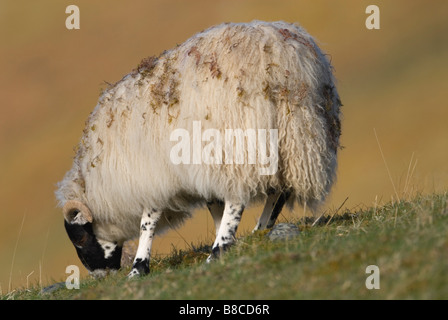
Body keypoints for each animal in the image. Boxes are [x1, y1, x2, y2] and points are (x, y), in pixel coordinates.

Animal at [56, 20, 344, 278]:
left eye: (79, 237)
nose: (98, 276)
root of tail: (283, 58)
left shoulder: (152, 176)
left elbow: (148, 222)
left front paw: (139, 267)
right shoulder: (196, 169)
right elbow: (214, 205)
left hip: (239, 145)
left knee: (238, 199)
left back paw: (217, 251)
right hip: (295, 142)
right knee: (278, 191)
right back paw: (259, 232)